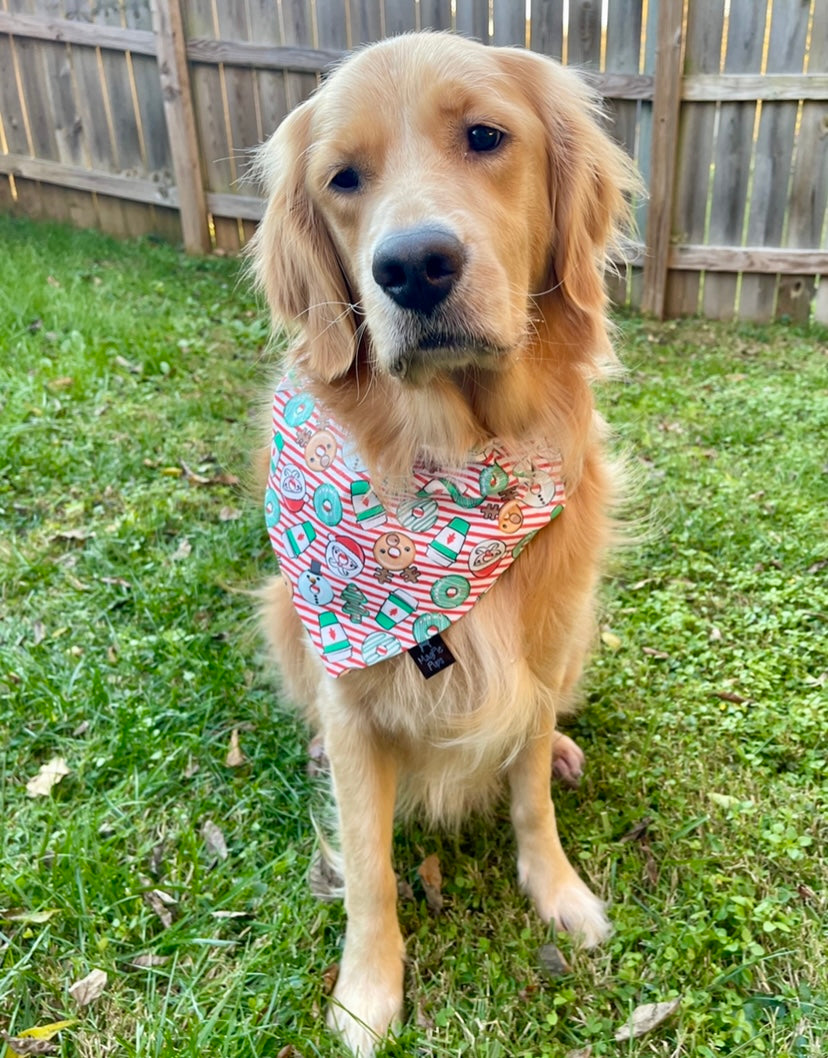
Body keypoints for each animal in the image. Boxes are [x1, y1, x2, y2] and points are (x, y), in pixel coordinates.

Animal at [252, 28, 642, 1053]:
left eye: (484, 136)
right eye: (343, 179)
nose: (415, 265)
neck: (452, 464)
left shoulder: (541, 652)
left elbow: (531, 801)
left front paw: (560, 893)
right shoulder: (353, 696)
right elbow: (369, 866)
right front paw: (367, 991)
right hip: (282, 611)